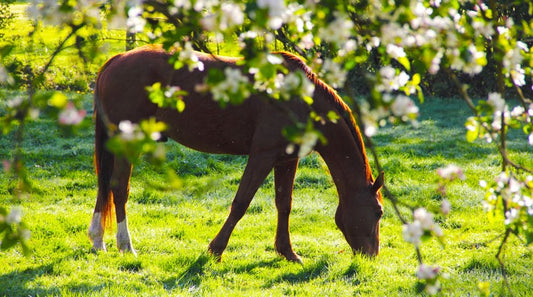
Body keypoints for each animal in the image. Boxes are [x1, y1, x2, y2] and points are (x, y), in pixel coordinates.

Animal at [89, 44, 384, 262]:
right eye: (379, 212)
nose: (371, 256)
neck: (300, 99)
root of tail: (115, 60)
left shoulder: (287, 160)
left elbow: (284, 204)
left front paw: (287, 252)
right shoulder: (262, 156)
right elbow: (241, 203)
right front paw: (215, 250)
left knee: (105, 187)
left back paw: (98, 240)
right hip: (128, 141)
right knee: (119, 188)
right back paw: (126, 246)